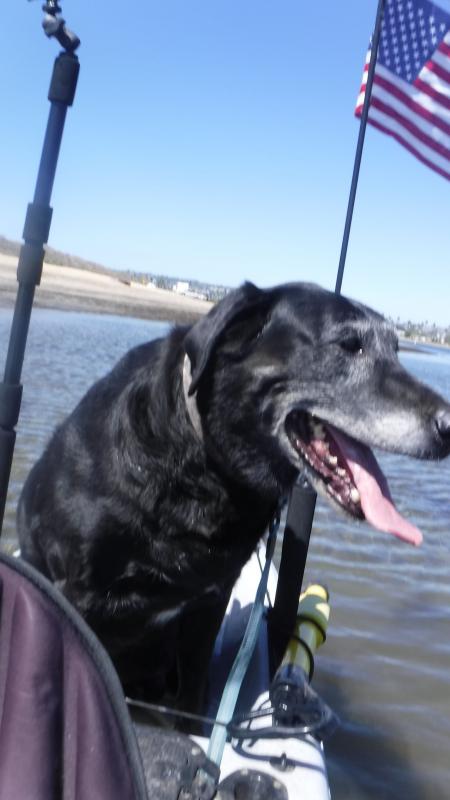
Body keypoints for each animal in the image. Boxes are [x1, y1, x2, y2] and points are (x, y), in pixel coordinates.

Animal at [17, 282, 450, 712]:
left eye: (396, 349)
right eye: (348, 344)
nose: (449, 426)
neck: (208, 472)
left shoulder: (210, 601)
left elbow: (192, 697)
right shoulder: (78, 594)